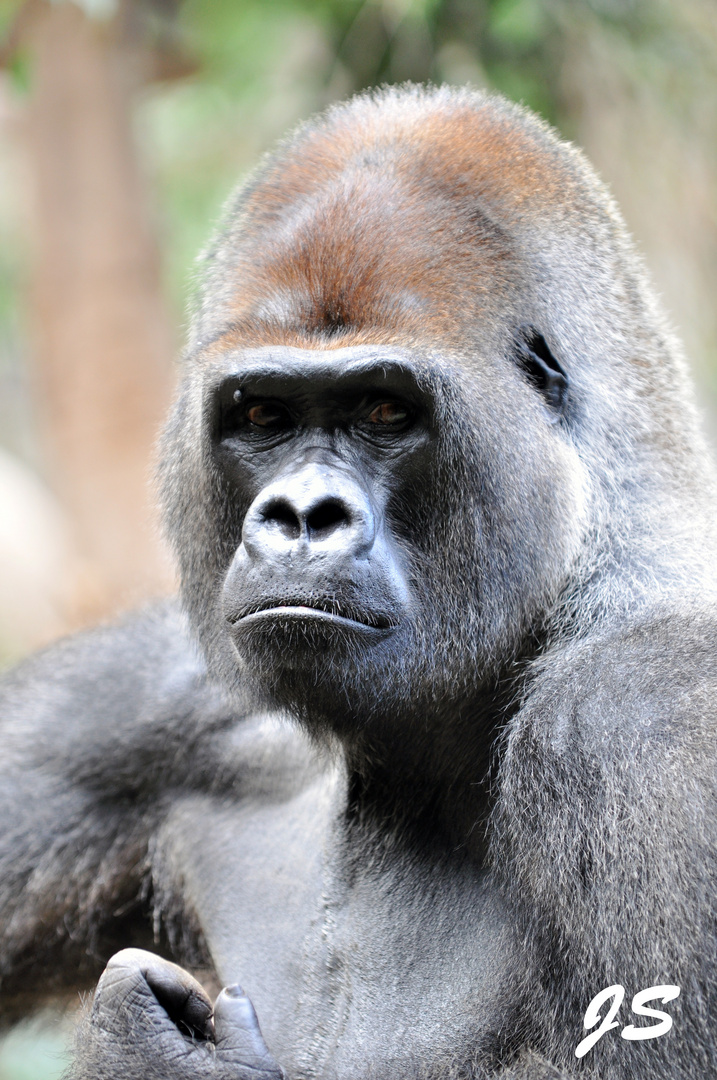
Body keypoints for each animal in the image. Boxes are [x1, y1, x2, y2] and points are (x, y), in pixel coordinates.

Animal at [1, 86, 717, 1080]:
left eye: (385, 410)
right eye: (261, 414)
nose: (303, 515)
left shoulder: (647, 724)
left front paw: (146, 1054)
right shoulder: (138, 703)